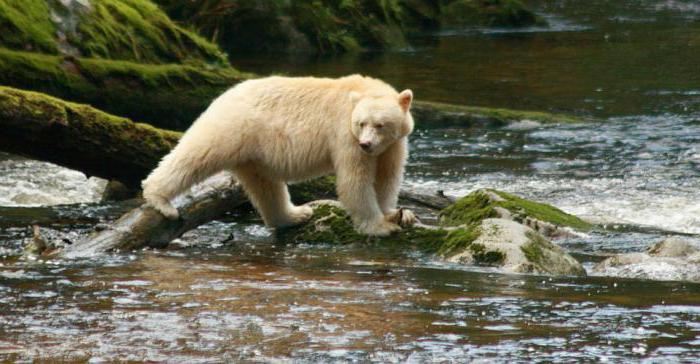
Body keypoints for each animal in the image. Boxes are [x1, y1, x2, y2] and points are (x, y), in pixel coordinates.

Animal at [143, 75, 416, 237]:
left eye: (380, 125)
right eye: (361, 123)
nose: (366, 144)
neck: (363, 89)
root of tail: (224, 95)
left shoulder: (394, 144)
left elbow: (387, 176)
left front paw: (398, 214)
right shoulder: (344, 134)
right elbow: (355, 181)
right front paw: (381, 226)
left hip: (253, 151)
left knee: (265, 186)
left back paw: (295, 215)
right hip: (231, 128)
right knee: (196, 154)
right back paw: (159, 198)